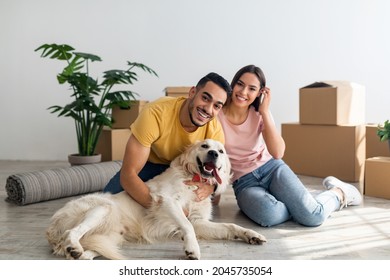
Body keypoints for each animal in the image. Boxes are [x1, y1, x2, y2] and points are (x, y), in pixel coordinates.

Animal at [45, 139, 266, 260]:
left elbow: (230, 226)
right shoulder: (167, 201)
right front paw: (192, 248)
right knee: (71, 233)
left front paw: (251, 234)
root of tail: (51, 228)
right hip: (103, 208)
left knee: (85, 251)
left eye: (221, 151)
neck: (193, 180)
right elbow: (186, 226)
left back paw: (78, 252)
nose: (213, 153)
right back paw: (74, 246)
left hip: (110, 237)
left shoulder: (199, 221)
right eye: (204, 146)